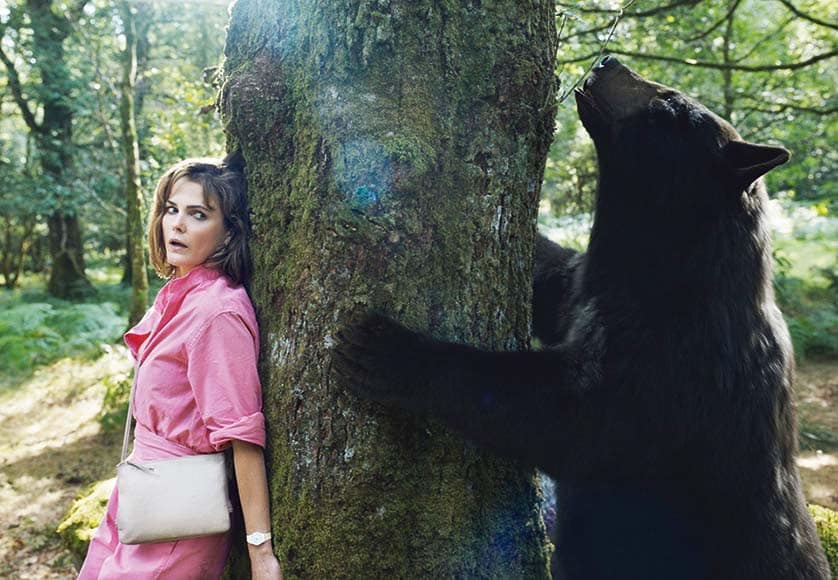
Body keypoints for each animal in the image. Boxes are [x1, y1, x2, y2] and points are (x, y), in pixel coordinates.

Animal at [334, 56, 830, 579]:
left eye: (668, 105)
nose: (609, 60)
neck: (666, 271)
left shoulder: (677, 365)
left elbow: (568, 419)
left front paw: (389, 352)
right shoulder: (586, 289)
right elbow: (552, 278)